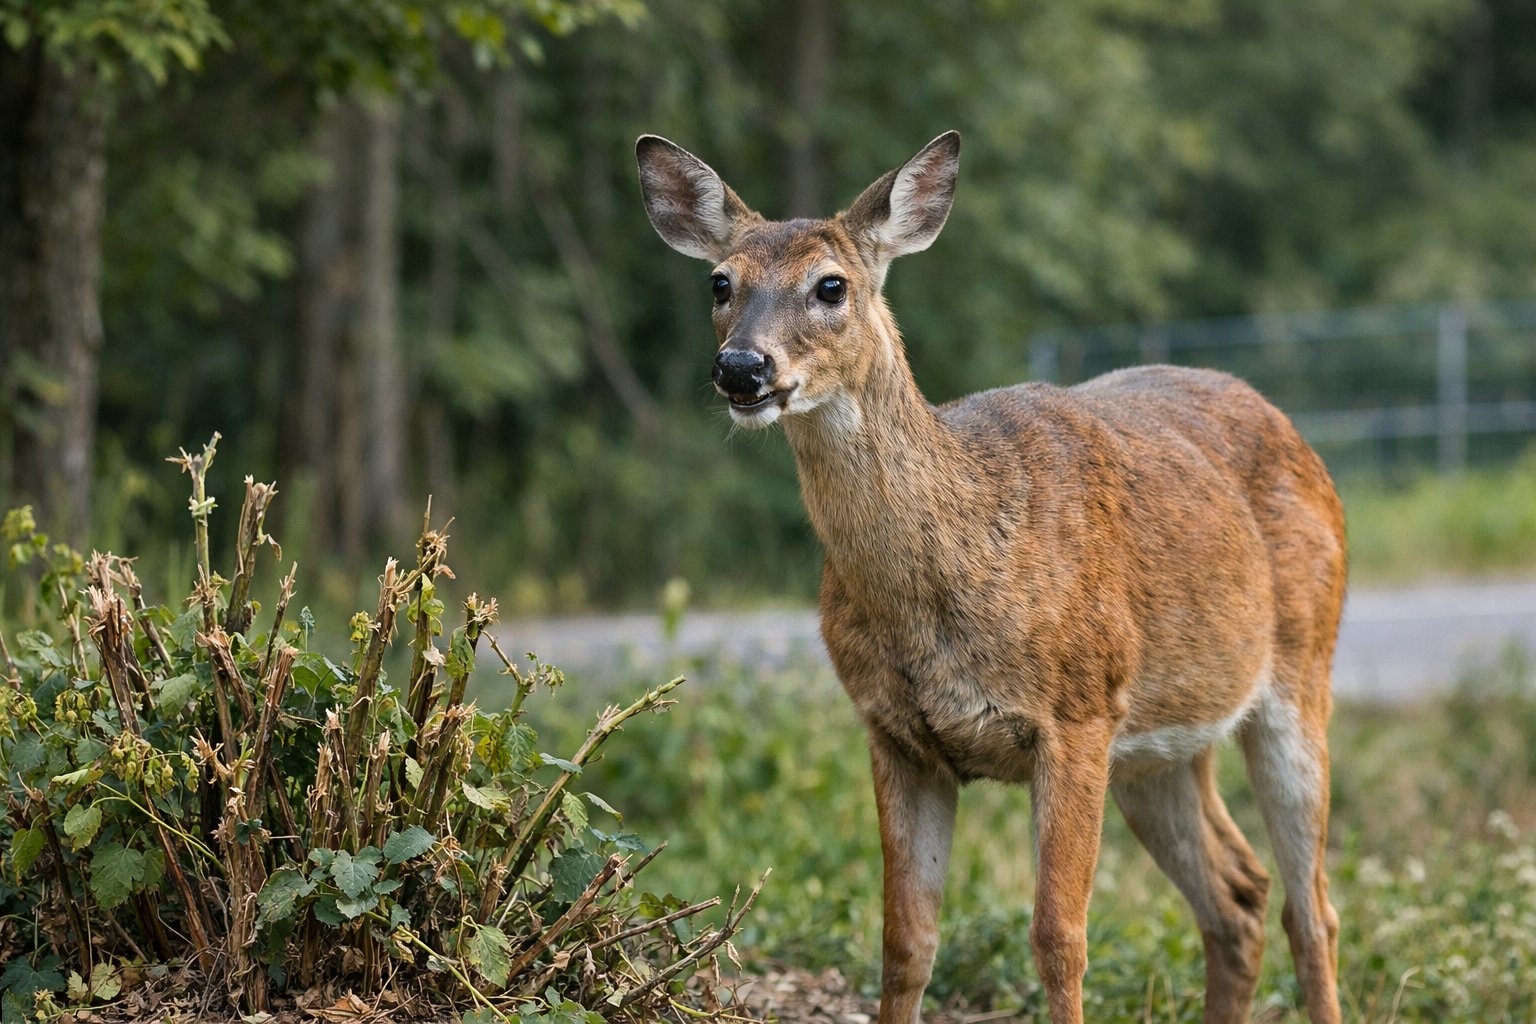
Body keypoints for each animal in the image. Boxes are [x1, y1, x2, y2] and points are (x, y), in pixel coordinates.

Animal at [635, 130, 1346, 1024]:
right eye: (720, 282)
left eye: (831, 285)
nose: (741, 368)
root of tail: (1294, 432)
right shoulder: (895, 732)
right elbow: (905, 942)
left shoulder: (1077, 712)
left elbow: (1059, 938)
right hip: (1158, 746)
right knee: (1239, 894)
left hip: (1299, 670)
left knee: (1310, 907)